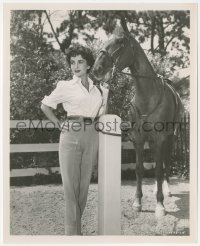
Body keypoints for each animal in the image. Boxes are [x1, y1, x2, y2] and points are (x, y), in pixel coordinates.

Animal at [92, 31, 183, 217]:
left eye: (120, 42)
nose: (96, 69)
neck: (148, 95)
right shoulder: (138, 139)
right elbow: (140, 169)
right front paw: (137, 202)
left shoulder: (161, 138)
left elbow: (158, 169)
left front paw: (160, 205)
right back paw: (156, 188)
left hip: (169, 139)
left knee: (165, 162)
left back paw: (167, 190)